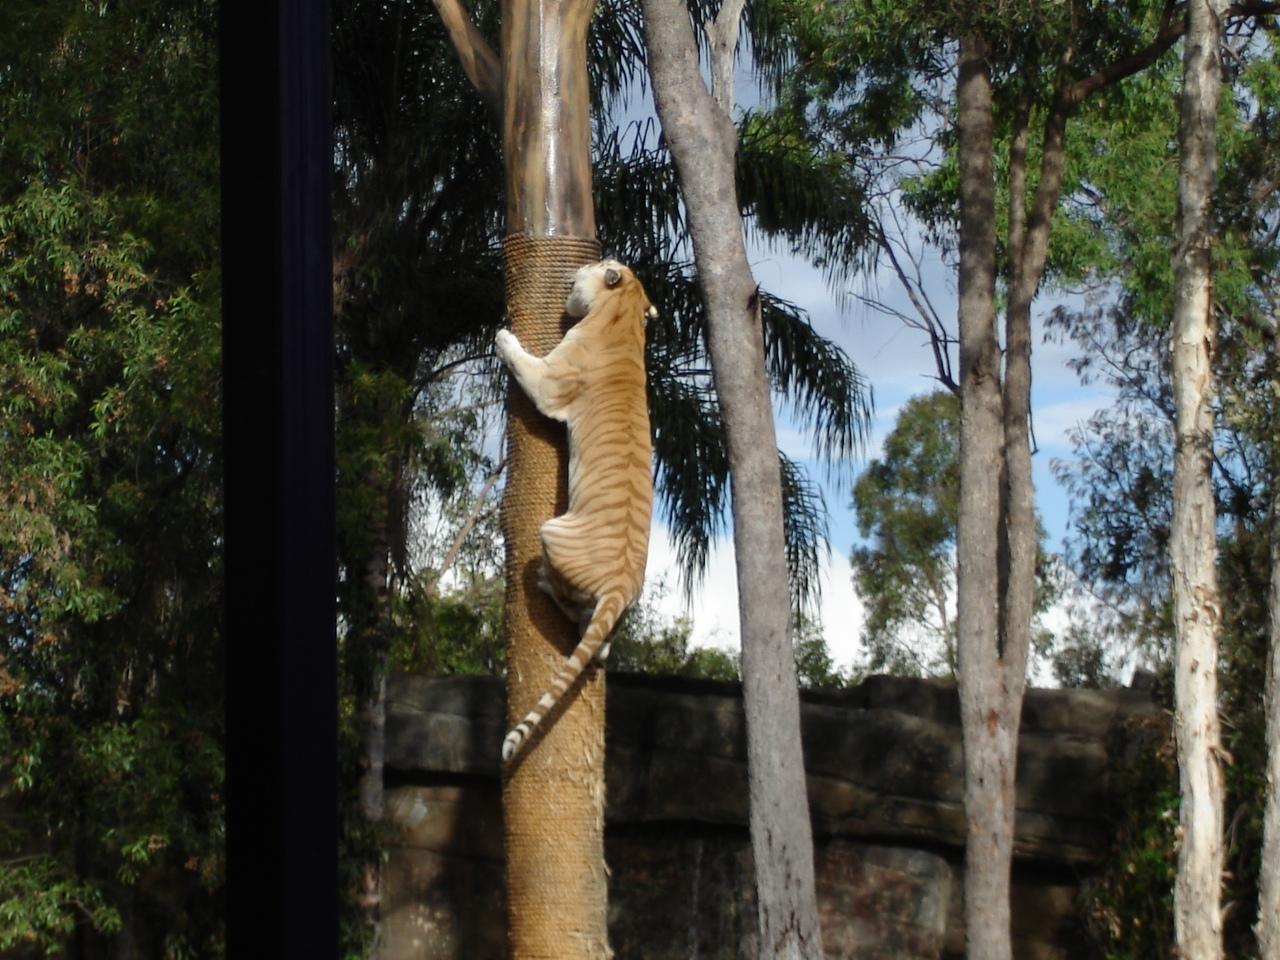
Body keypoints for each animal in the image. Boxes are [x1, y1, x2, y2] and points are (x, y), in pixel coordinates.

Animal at [491, 259, 655, 762]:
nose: (582, 265)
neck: (626, 316)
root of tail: (621, 587)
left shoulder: (548, 380)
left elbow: (523, 362)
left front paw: (503, 336)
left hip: (549, 532)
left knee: (561, 598)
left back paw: (543, 582)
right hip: (612, 613)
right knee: (597, 645)